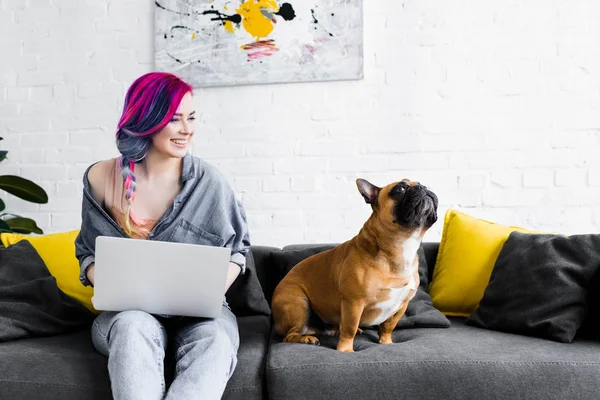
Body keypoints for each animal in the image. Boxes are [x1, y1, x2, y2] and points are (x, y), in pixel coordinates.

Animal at [270, 179, 436, 354]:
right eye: (400, 188)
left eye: (421, 183)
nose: (424, 187)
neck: (402, 244)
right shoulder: (354, 302)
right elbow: (349, 328)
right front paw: (345, 350)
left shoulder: (402, 304)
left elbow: (388, 326)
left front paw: (386, 342)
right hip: (298, 304)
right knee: (290, 335)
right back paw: (306, 339)